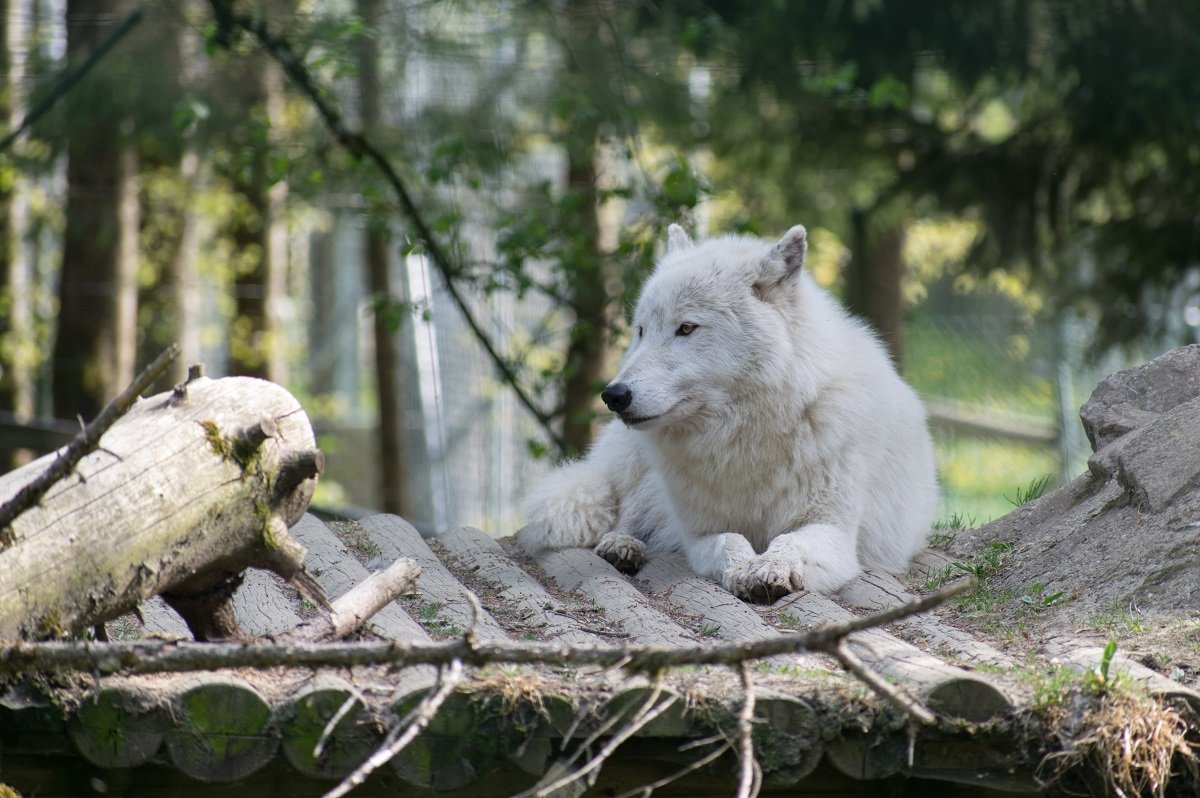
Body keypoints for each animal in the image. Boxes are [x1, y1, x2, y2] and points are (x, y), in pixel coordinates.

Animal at [516, 222, 936, 597]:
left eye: (686, 328)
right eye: (641, 331)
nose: (613, 395)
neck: (746, 436)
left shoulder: (834, 531)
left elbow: (788, 541)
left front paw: (769, 567)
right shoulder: (700, 533)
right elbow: (730, 540)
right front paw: (742, 569)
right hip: (646, 479)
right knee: (627, 514)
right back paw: (622, 546)